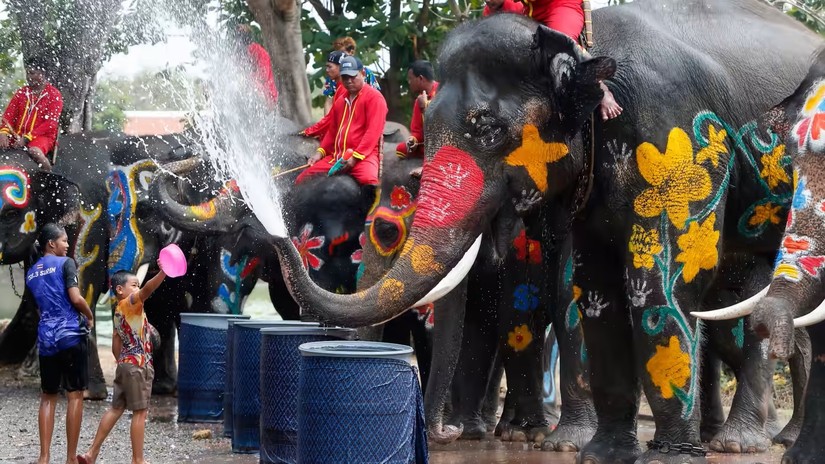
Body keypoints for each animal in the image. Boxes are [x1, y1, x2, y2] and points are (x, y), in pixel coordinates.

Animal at [268, 2, 816, 460]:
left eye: (488, 129)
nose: (444, 433)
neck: (585, 53)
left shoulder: (674, 142)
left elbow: (659, 284)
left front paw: (657, 456)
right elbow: (590, 290)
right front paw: (597, 453)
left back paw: (739, 443)